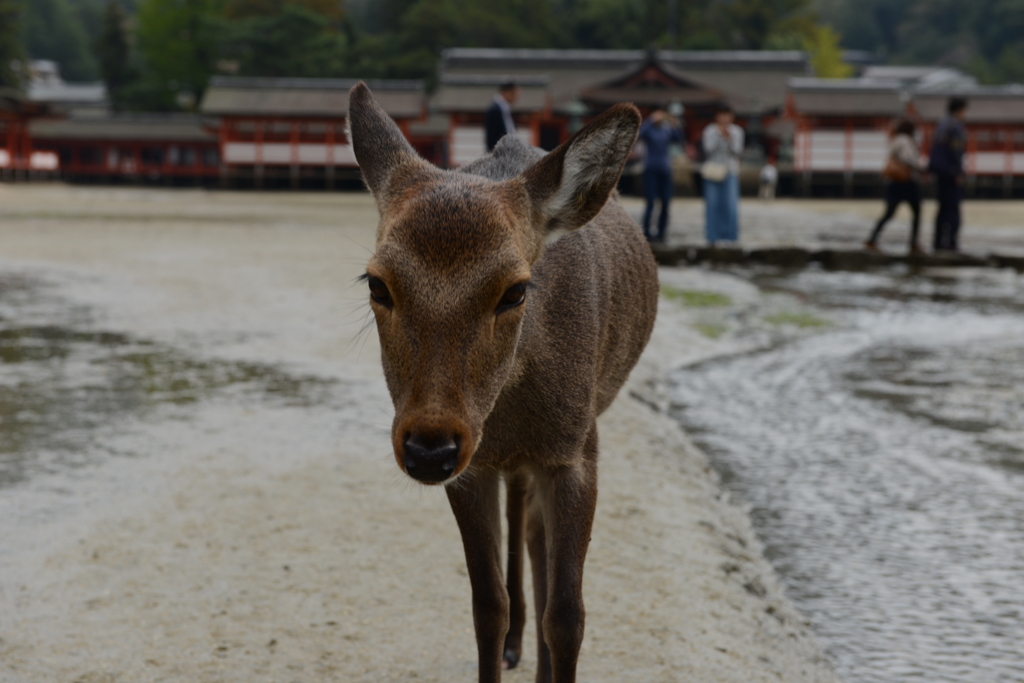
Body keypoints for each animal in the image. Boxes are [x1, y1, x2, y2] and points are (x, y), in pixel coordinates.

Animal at [348, 81, 659, 683]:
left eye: (515, 290)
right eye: (376, 283)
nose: (429, 448)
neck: (510, 408)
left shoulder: (576, 449)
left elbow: (568, 614)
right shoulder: (474, 468)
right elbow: (488, 606)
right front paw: (504, 638)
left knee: (535, 536)